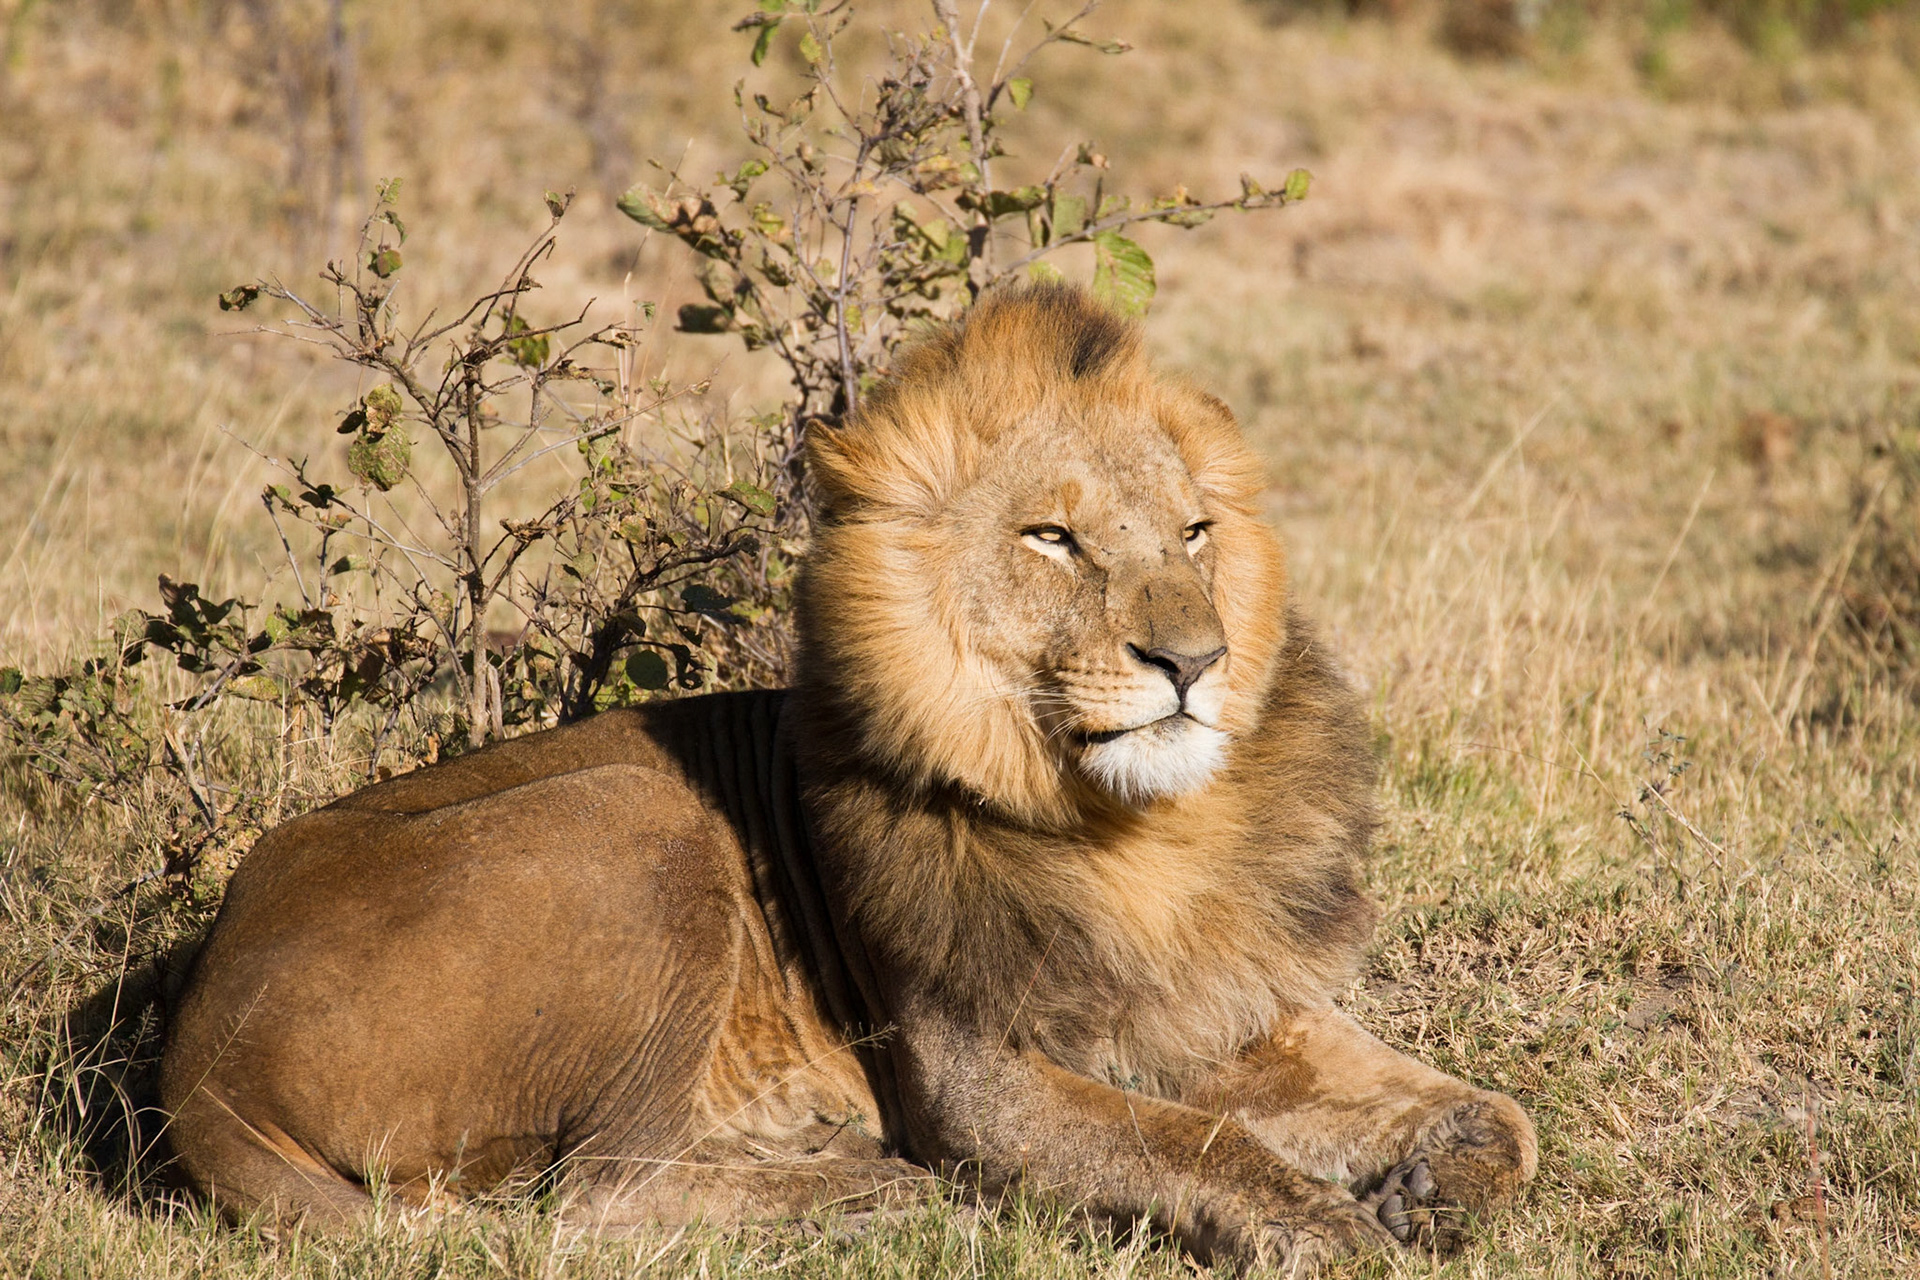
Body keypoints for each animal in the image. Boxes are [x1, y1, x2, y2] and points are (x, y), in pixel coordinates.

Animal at [159, 284, 1535, 1269]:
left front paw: (1431, 1186)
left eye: (1195, 532)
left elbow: (1496, 1111)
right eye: (1054, 537)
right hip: (639, 819)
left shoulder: (1232, 1007)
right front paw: (1332, 1228)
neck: (1132, 831)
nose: (1195, 659)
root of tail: (198, 1055)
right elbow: (1189, 1138)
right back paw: (870, 1184)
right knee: (591, 1196)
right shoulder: (977, 1083)